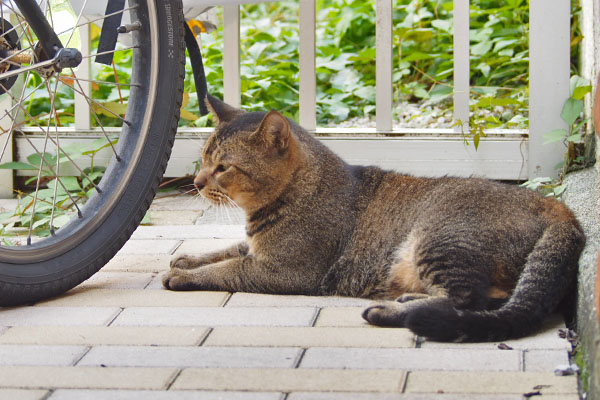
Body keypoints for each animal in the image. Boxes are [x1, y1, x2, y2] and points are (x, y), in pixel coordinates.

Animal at [162, 95, 584, 342]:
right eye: (204, 158)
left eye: (223, 167)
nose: (197, 182)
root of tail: (563, 212)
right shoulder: (256, 248)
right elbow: (224, 251)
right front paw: (187, 259)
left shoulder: (286, 270)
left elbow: (228, 269)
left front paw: (183, 276)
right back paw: (410, 299)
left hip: (438, 236)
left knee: (474, 299)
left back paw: (391, 311)